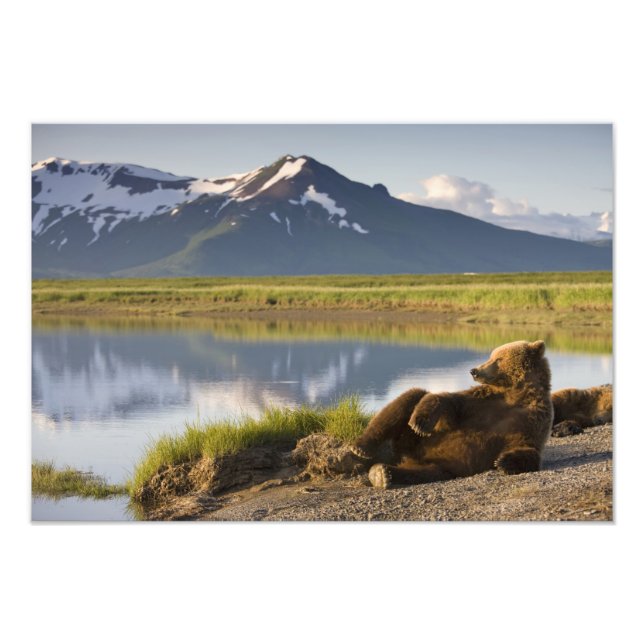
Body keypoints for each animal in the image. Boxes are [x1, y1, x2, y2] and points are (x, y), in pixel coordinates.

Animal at [350, 340, 553, 488]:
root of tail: (408, 456)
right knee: (410, 396)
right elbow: (449, 401)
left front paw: (503, 462)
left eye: (498, 359)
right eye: (491, 356)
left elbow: (527, 447)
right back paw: (361, 448)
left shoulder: (532, 419)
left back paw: (382, 474)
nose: (474, 370)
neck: (514, 394)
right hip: (411, 440)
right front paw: (420, 422)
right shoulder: (481, 402)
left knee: (422, 472)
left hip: (441, 465)